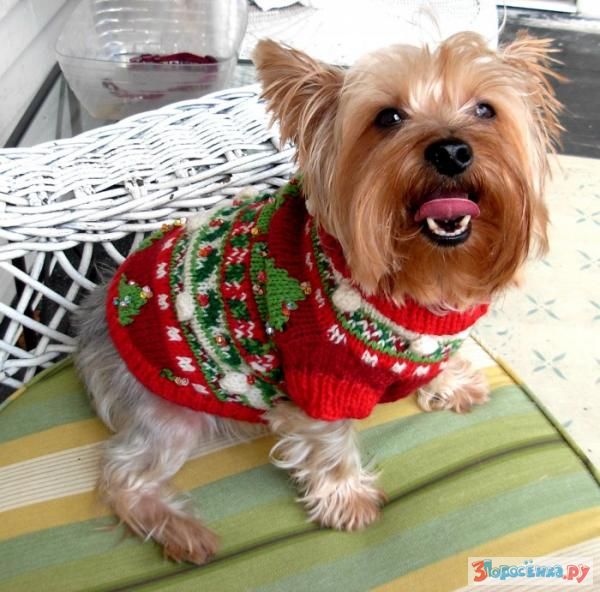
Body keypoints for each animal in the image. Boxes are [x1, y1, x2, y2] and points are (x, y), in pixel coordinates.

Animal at [74, 32, 561, 564]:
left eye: (485, 109)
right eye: (388, 117)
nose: (451, 151)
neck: (419, 276)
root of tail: (93, 317)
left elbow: (431, 364)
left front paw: (450, 382)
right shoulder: (319, 377)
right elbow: (329, 444)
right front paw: (347, 500)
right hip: (165, 409)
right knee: (124, 475)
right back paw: (184, 534)